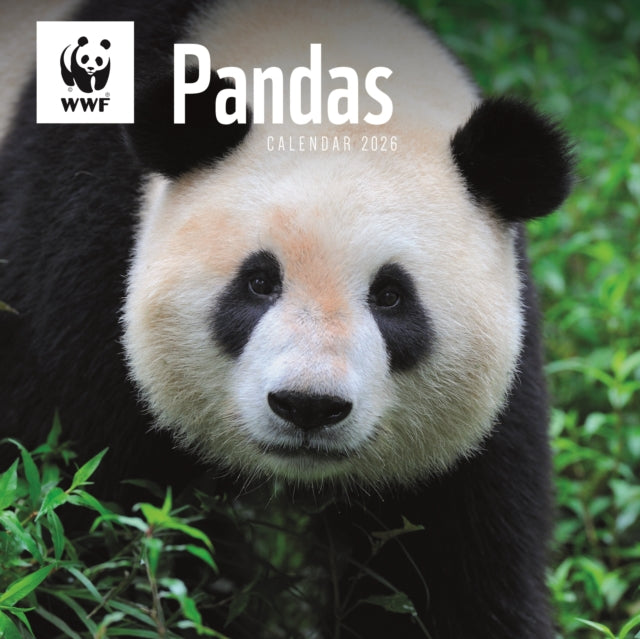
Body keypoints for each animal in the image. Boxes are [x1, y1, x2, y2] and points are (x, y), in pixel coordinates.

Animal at [0, 0, 573, 637]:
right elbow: (73, 515)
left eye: (391, 296)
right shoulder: (81, 253)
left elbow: (453, 573)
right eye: (259, 282)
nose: (308, 406)